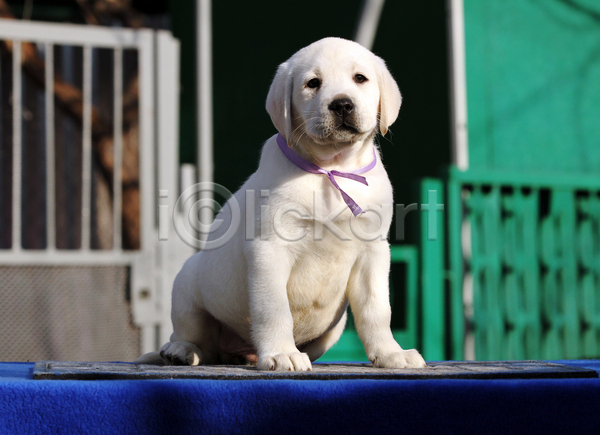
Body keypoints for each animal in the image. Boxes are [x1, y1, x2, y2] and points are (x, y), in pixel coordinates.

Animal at [136, 36, 426, 372]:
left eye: (360, 78)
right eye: (313, 83)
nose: (342, 104)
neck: (331, 168)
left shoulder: (373, 251)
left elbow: (376, 309)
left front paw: (390, 352)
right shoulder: (269, 249)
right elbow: (274, 310)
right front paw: (280, 353)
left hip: (332, 329)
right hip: (187, 285)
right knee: (196, 339)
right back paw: (181, 351)